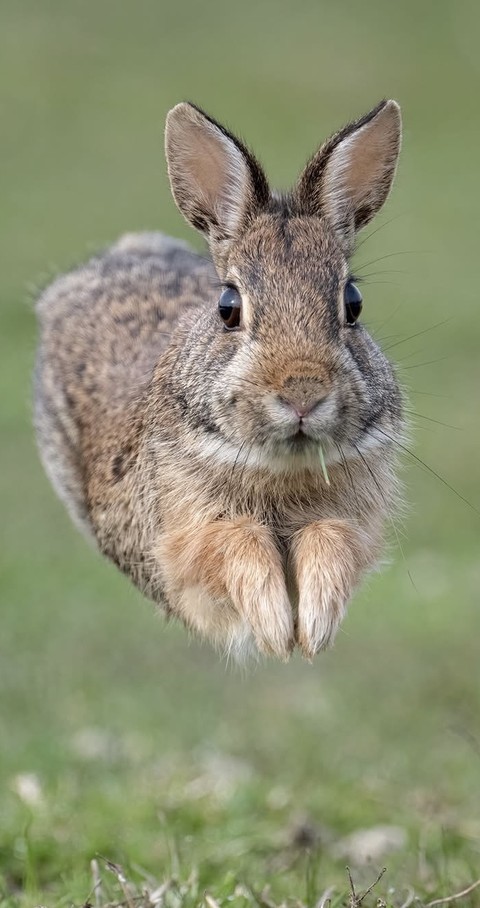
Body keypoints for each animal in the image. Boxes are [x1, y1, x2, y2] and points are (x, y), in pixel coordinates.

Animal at [34, 98, 404, 661]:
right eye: (228, 307)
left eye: (353, 303)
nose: (302, 395)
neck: (281, 466)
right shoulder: (179, 535)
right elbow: (232, 544)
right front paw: (276, 629)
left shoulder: (356, 514)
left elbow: (332, 538)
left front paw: (313, 628)